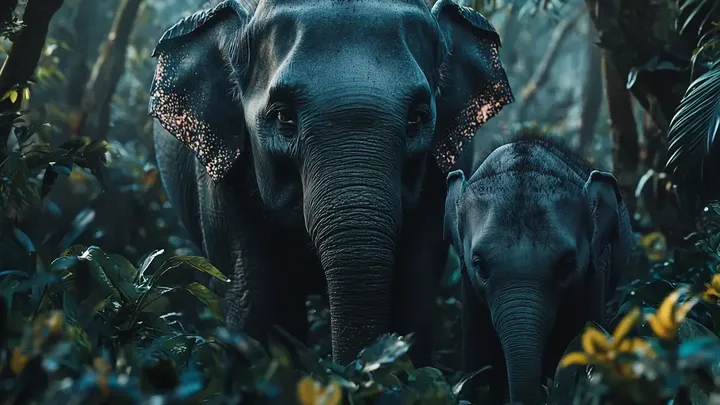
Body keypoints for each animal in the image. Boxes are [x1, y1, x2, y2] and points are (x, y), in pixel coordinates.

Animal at [148, 0, 513, 365]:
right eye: (284, 117)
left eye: (417, 118)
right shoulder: (222, 177)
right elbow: (254, 303)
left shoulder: (442, 177)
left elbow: (415, 295)